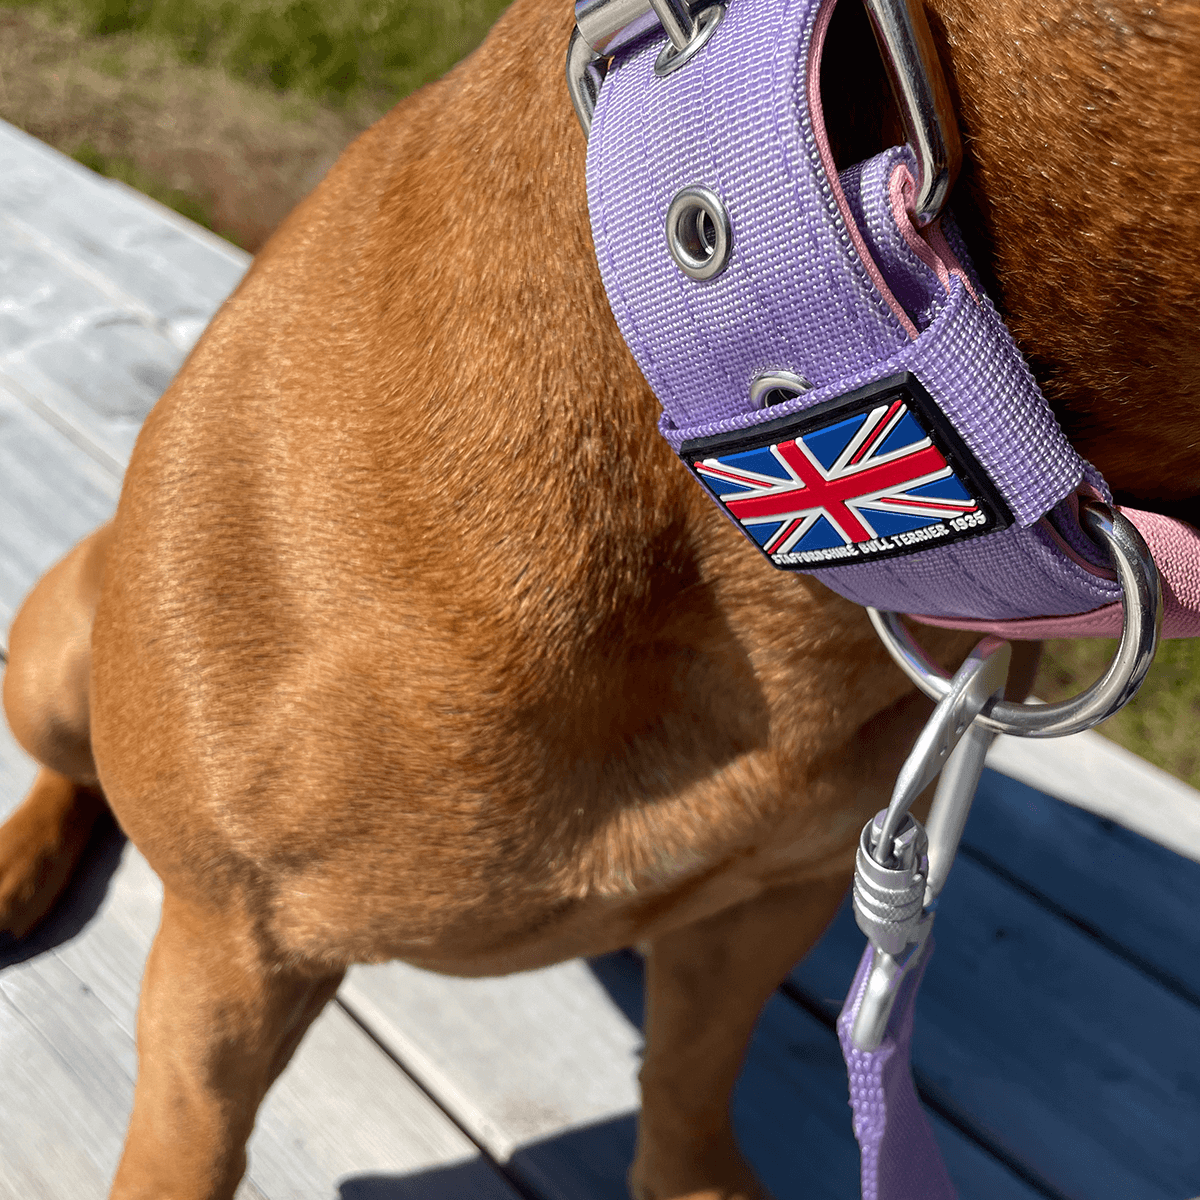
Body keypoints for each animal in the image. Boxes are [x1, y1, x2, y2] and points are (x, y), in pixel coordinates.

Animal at [2, 0, 1200, 1195]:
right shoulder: (226, 963)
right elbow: (184, 1152)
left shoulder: (775, 895)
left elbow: (692, 1070)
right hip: (57, 665)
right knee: (75, 768)